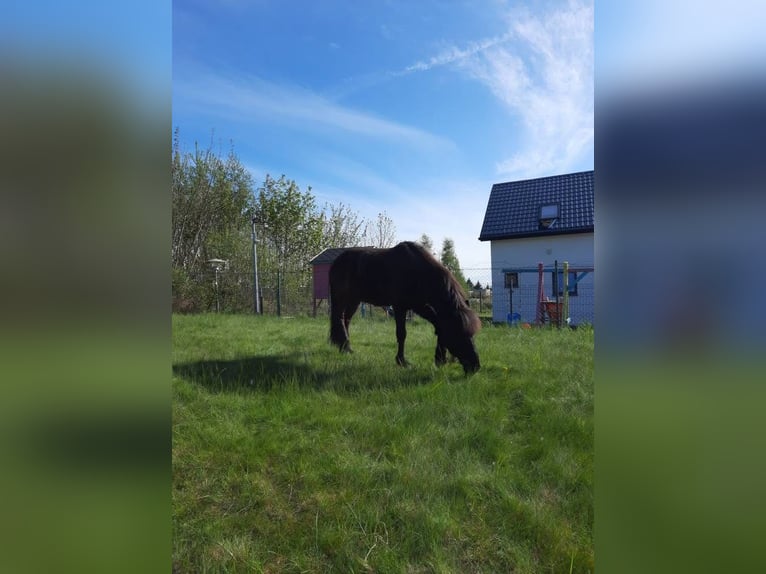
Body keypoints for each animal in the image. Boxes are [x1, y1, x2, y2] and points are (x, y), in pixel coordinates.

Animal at [328, 241, 481, 374]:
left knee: (346, 320)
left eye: (472, 334)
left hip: (354, 300)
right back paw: (345, 347)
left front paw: (440, 358)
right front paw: (402, 361)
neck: (418, 272)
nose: (475, 366)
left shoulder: (419, 306)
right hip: (340, 298)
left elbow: (438, 325)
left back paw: (345, 347)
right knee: (339, 318)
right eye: (458, 332)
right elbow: (402, 334)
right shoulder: (400, 307)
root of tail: (337, 261)